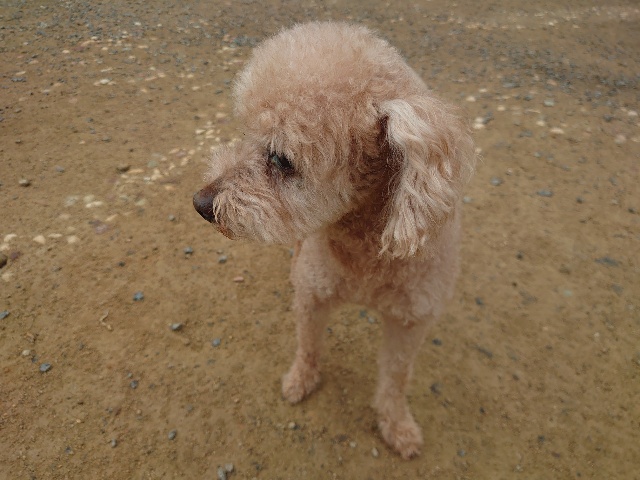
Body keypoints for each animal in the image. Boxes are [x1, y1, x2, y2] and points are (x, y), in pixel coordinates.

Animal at [193, 22, 475, 458]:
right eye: (246, 133)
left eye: (281, 159)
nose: (201, 204)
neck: (364, 245)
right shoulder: (313, 293)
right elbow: (308, 344)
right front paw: (300, 380)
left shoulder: (411, 319)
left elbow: (396, 378)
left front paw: (398, 426)